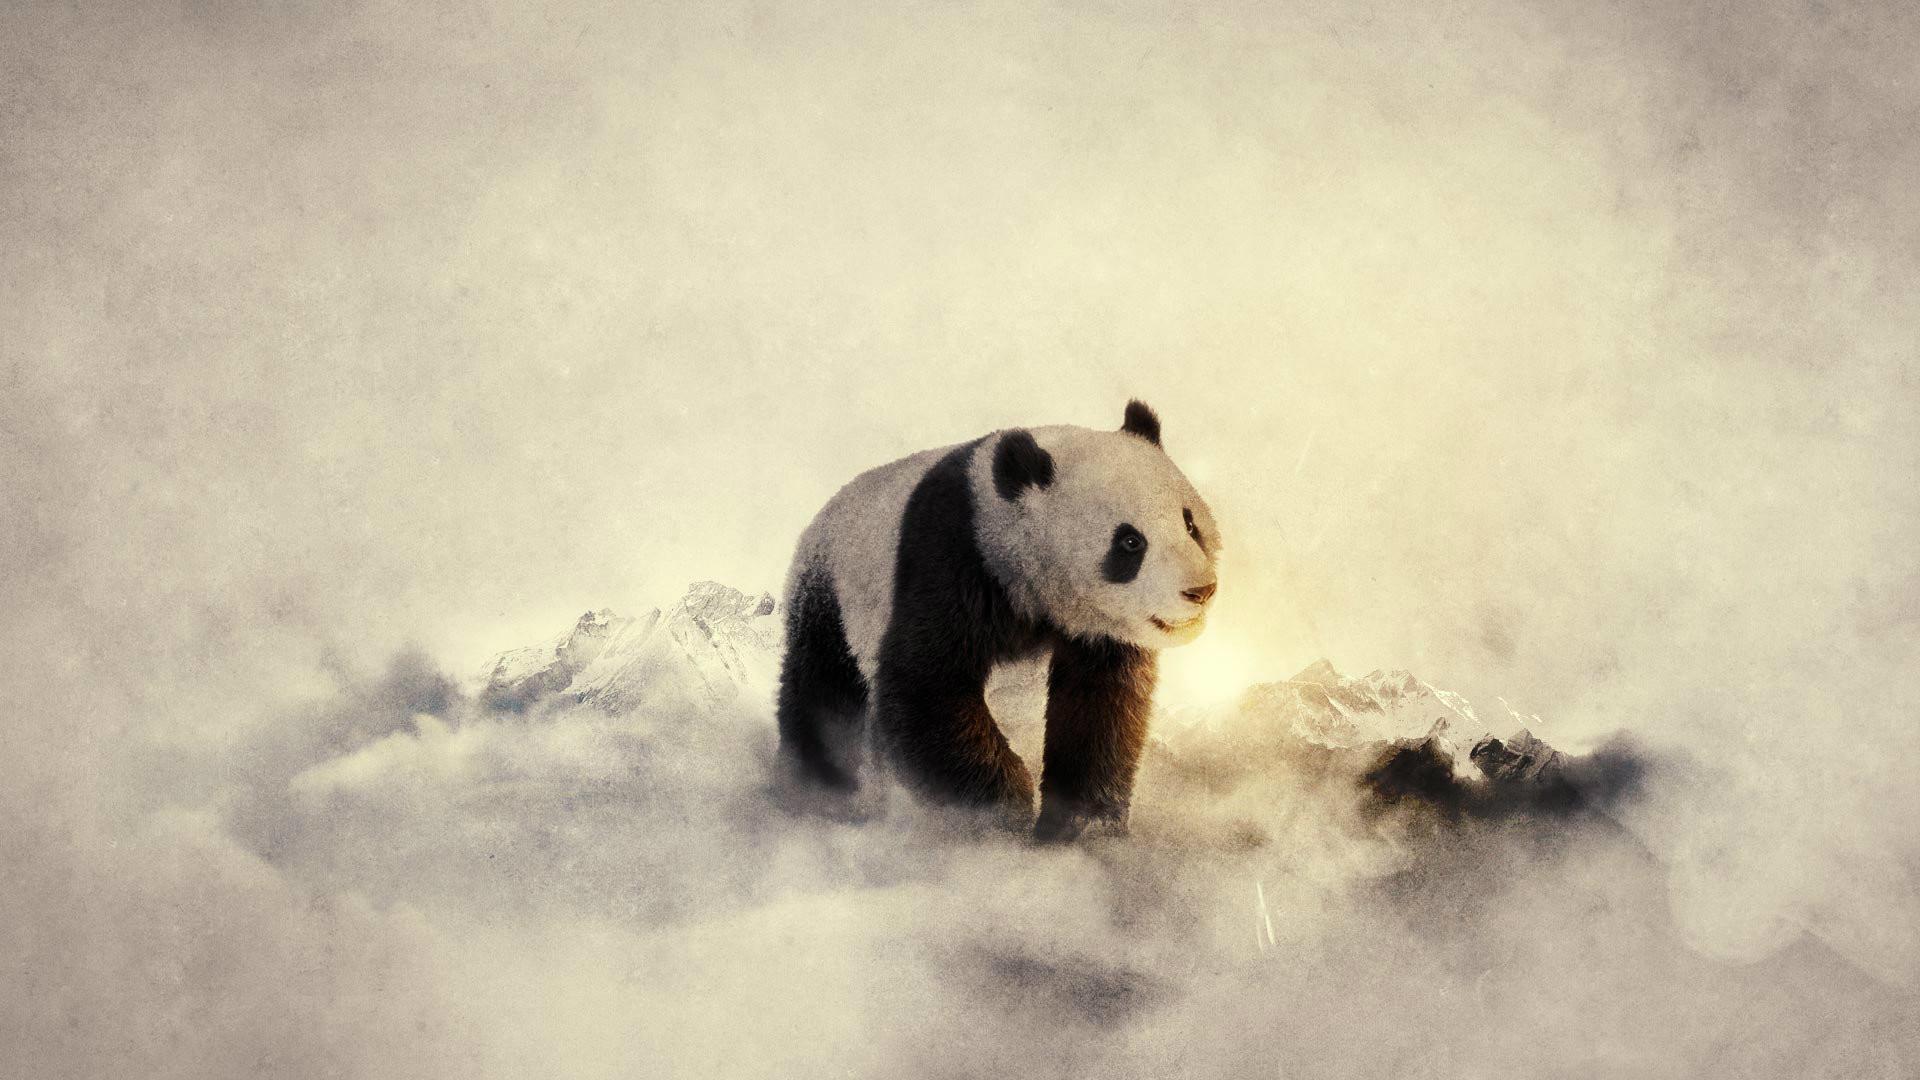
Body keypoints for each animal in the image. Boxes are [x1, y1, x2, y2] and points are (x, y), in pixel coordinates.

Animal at [776, 400, 1222, 841]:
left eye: (1189, 523)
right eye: (1130, 541)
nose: (1200, 590)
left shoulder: (1099, 629)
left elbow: (1099, 706)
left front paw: (1083, 824)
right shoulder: (954, 557)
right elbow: (925, 683)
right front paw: (1002, 814)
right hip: (831, 594)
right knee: (825, 696)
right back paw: (823, 789)